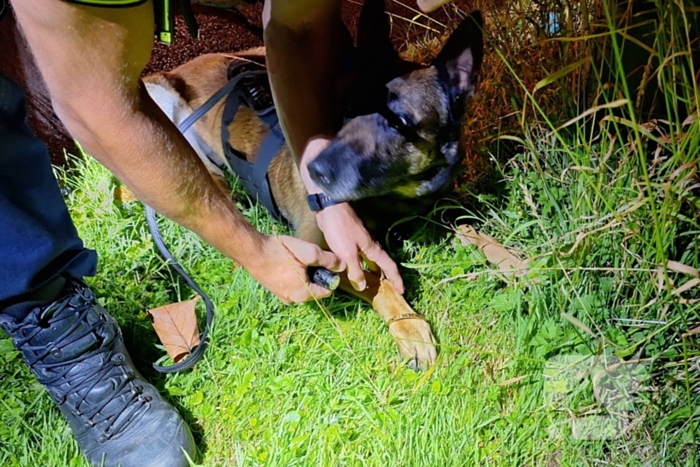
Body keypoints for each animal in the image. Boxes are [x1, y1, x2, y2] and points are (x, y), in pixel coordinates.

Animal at [142, 3, 482, 370]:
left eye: (399, 124)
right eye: (348, 110)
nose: (314, 169)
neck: (391, 198)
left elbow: (466, 220)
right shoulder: (321, 256)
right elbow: (378, 281)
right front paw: (410, 327)